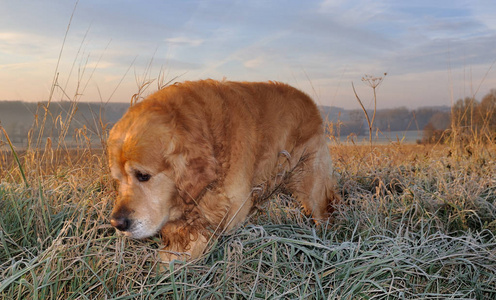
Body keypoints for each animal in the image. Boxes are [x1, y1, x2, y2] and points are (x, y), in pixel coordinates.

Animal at [107, 78, 340, 262]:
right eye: (118, 180)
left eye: (143, 176)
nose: (117, 223)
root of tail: (308, 99)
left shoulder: (235, 207)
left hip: (311, 180)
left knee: (323, 210)